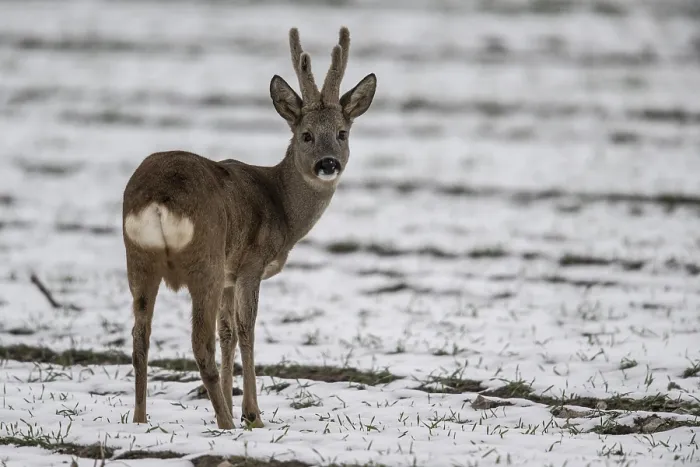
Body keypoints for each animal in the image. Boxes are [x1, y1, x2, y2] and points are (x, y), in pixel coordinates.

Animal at [121, 26, 376, 430]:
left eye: (342, 133)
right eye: (305, 135)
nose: (328, 164)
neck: (281, 206)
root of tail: (159, 197)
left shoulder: (230, 274)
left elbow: (227, 331)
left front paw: (231, 400)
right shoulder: (249, 266)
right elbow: (245, 329)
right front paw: (251, 414)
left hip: (139, 258)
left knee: (139, 338)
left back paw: (141, 418)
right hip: (205, 257)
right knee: (200, 342)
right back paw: (226, 422)